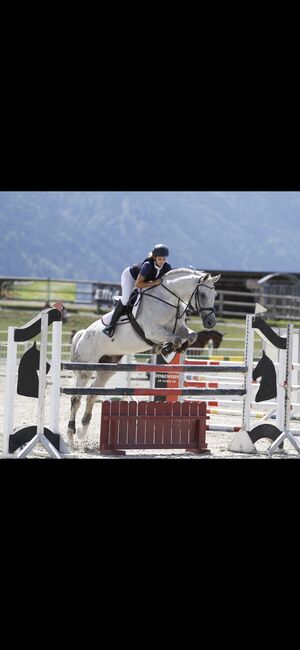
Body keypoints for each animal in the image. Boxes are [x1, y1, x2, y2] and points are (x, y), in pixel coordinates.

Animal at [67, 268, 219, 440]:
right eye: (202, 295)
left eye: (215, 295)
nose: (210, 323)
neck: (169, 300)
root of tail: (83, 334)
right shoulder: (153, 332)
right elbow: (176, 339)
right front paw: (167, 349)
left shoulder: (179, 328)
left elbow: (191, 336)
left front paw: (173, 349)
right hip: (85, 369)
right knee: (76, 398)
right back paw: (71, 432)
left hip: (107, 368)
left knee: (91, 395)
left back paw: (82, 430)